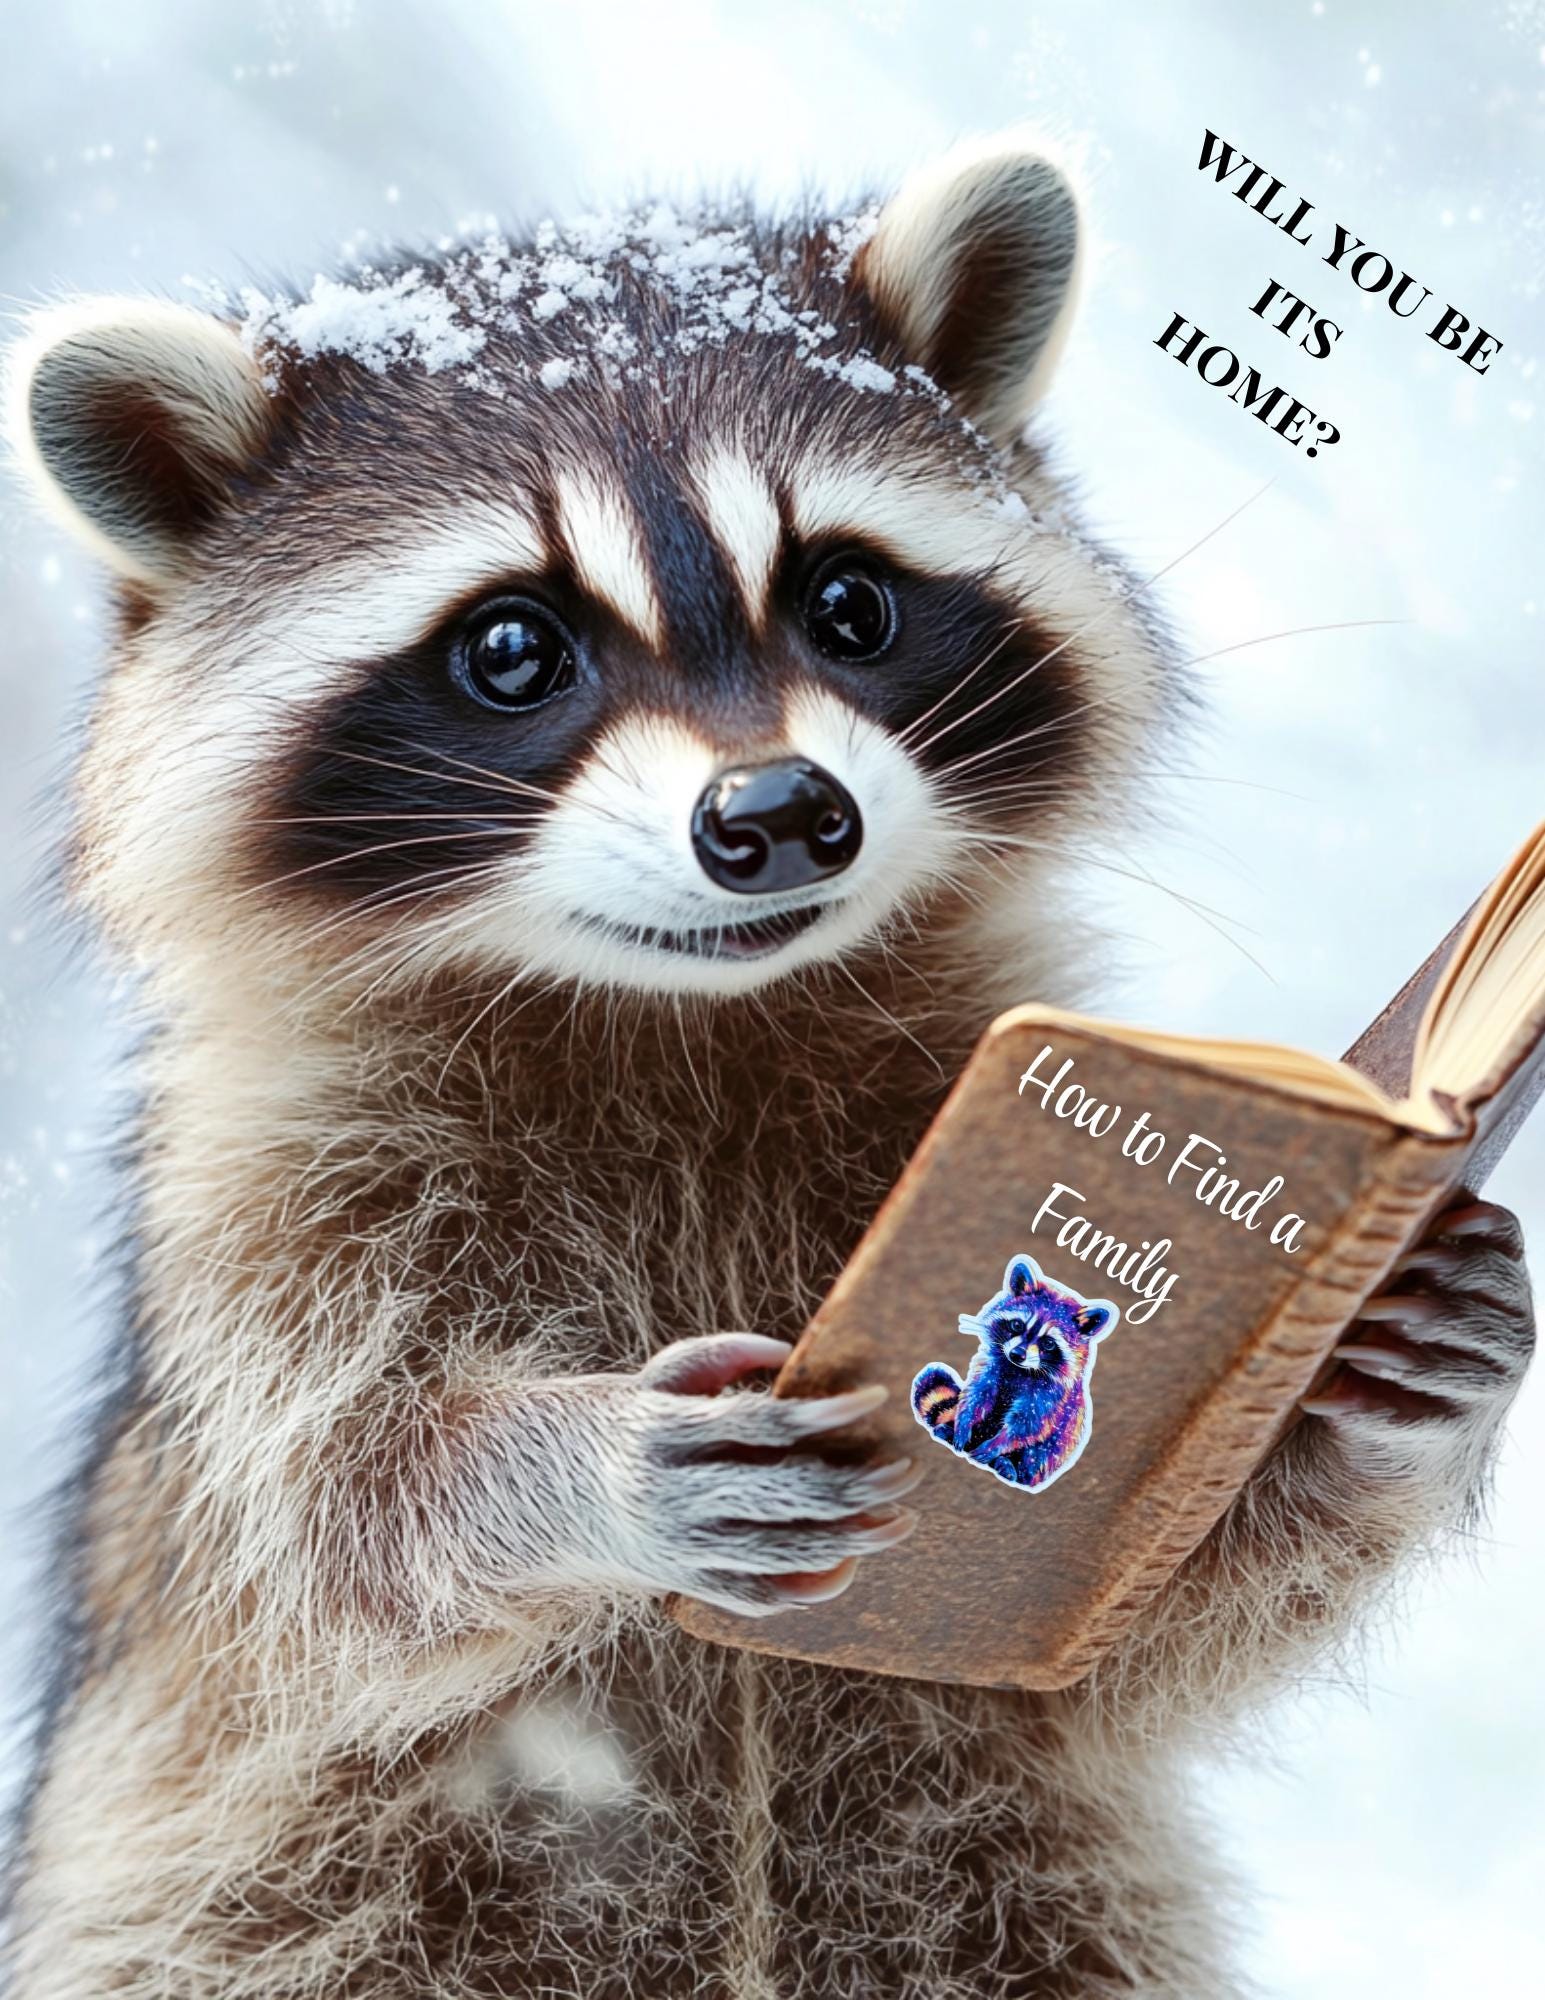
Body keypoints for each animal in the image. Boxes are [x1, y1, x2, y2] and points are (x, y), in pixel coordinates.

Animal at [911, 1254, 1116, 1489]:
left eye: (1048, 1343)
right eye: (1017, 1325)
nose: (1017, 1354)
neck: (1019, 1370)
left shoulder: (1051, 1396)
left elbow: (1027, 1424)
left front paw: (996, 1446)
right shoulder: (991, 1366)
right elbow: (976, 1397)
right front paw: (964, 1423)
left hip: (1051, 1453)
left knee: (1036, 1455)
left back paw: (1006, 1465)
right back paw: (948, 1430)